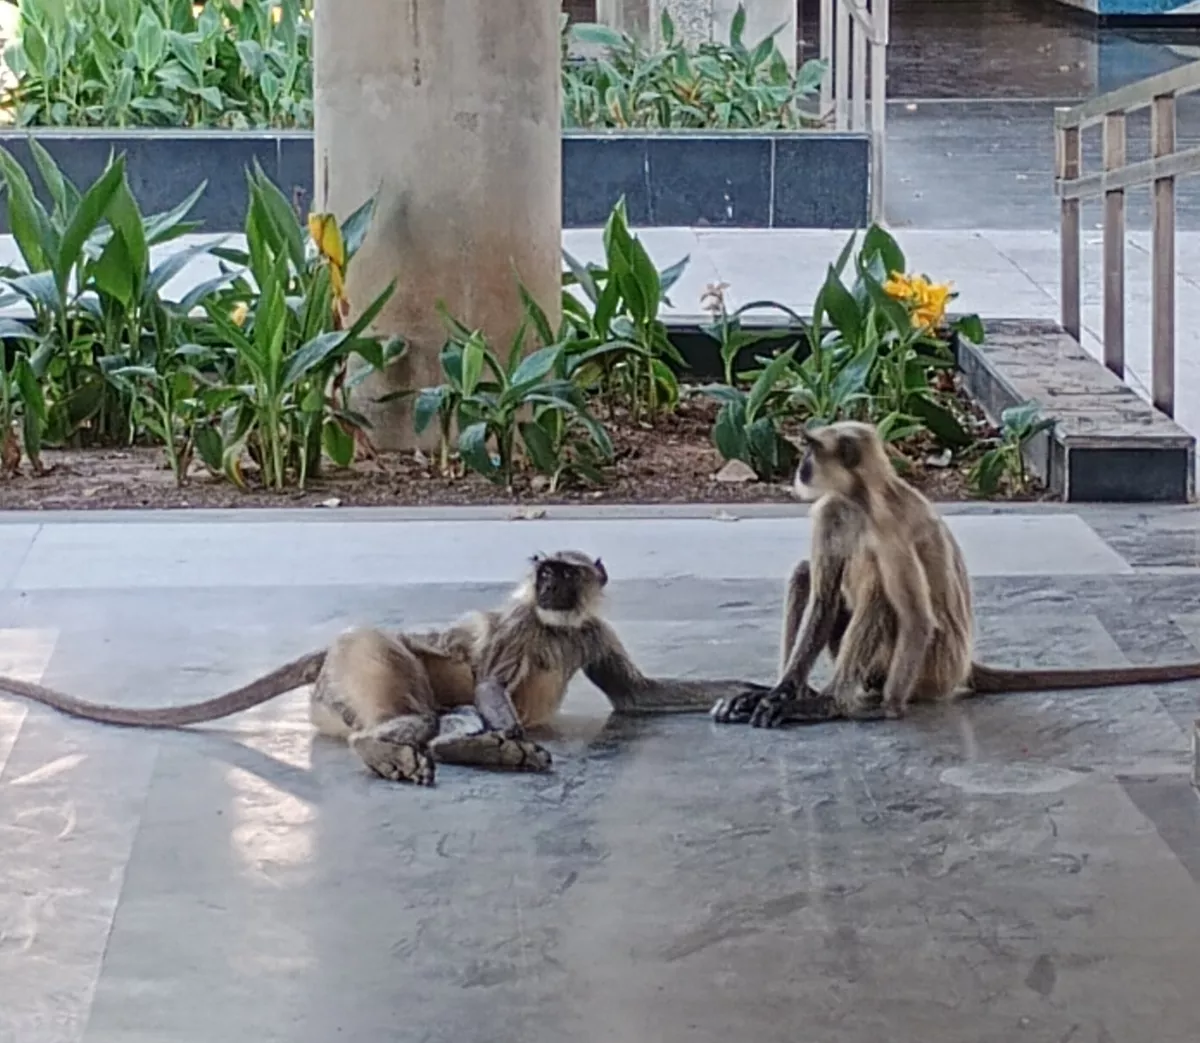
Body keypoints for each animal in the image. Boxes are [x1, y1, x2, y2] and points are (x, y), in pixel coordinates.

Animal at [0, 550, 768, 784]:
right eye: (542, 571)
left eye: (564, 574)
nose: (548, 583)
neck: (554, 626)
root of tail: (331, 650)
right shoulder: (519, 627)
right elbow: (489, 678)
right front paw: (512, 737)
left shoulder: (591, 630)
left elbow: (639, 696)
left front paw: (750, 692)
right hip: (368, 657)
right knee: (419, 714)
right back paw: (415, 748)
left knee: (439, 723)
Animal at [710, 419, 1200, 730]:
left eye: (811, 451)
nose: (800, 467)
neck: (862, 499)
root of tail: (963, 663)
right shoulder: (831, 511)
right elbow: (825, 598)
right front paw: (781, 692)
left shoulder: (888, 526)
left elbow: (914, 615)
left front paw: (873, 708)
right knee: (807, 574)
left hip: (933, 668)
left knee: (881, 596)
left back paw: (834, 699)